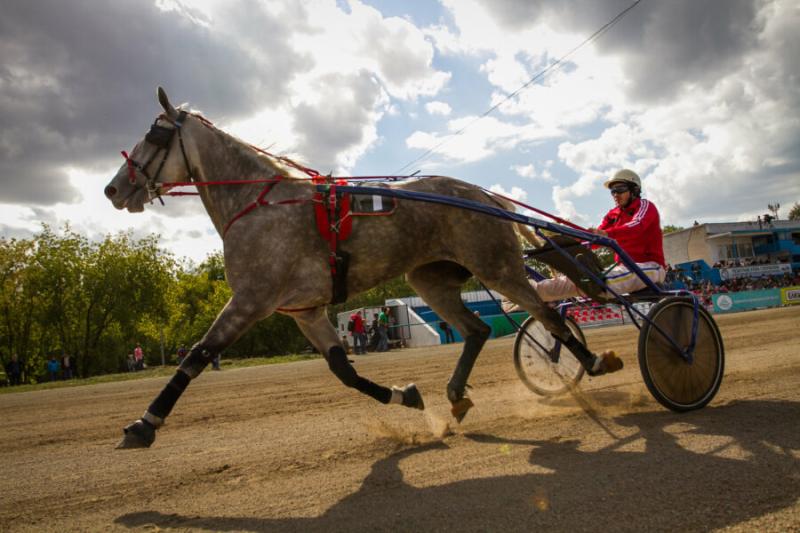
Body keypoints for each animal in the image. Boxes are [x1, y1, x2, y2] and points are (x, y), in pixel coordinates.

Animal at [104, 88, 624, 448]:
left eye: (154, 134)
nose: (112, 189)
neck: (259, 203)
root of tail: (481, 194)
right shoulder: (306, 311)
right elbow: (345, 373)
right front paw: (406, 395)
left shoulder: (251, 299)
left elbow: (195, 356)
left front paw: (144, 424)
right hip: (429, 279)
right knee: (477, 329)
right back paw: (455, 394)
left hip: (497, 269)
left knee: (548, 316)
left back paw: (593, 361)